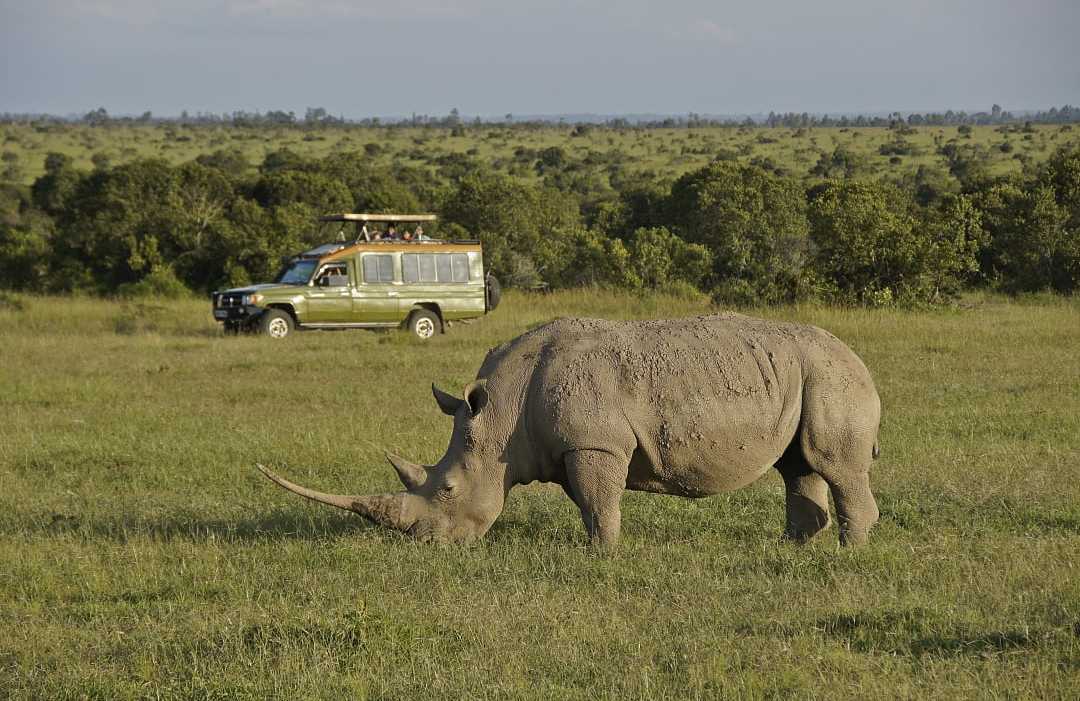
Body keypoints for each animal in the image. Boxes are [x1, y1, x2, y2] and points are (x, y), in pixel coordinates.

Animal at [259, 313, 882, 547]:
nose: (430, 545)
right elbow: (588, 502)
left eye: (448, 490)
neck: (500, 415)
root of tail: (861, 361)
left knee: (833, 464)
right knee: (799, 465)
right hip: (803, 375)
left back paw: (846, 554)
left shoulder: (595, 442)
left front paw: (603, 557)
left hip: (832, 377)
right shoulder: (570, 447)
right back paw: (795, 550)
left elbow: (598, 503)